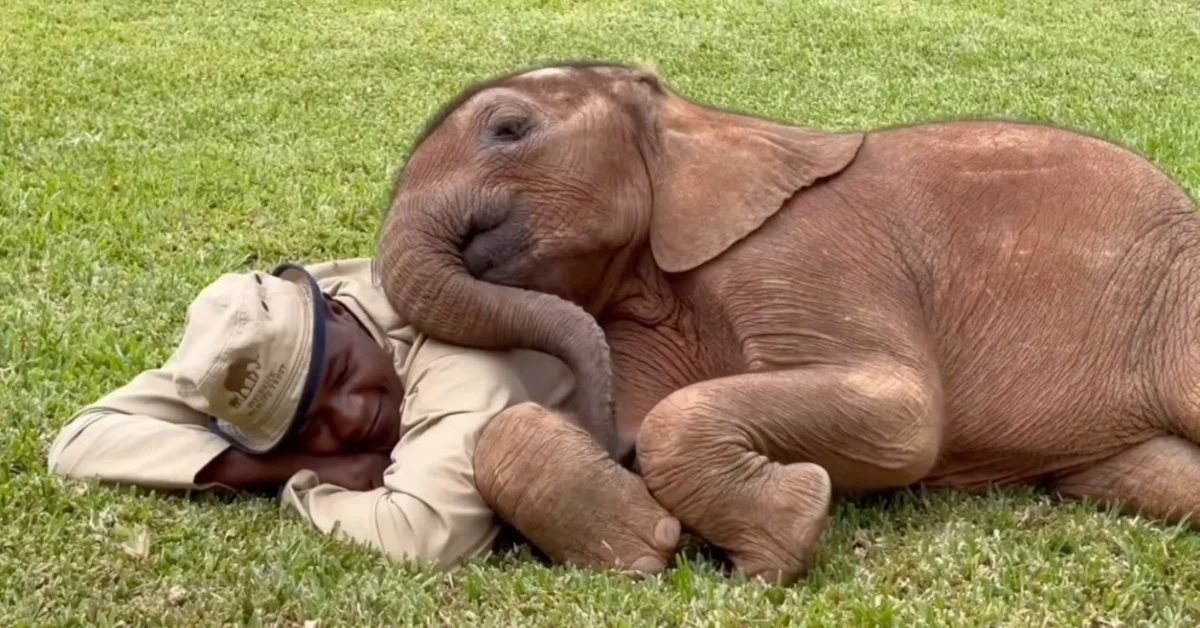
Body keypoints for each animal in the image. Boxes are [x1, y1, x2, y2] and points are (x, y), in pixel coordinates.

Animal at [375, 61, 1200, 583]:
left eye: (509, 130)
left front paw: (780, 540)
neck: (697, 126)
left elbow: (906, 419)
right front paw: (643, 548)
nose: (616, 447)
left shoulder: (803, 251)